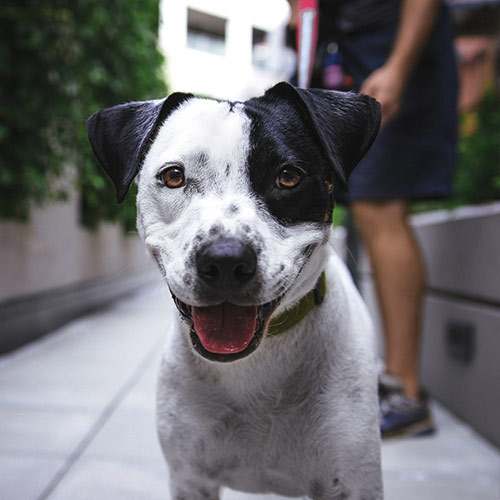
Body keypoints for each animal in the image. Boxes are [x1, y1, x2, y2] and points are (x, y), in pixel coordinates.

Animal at [87, 83, 382, 500]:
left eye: (288, 177)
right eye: (174, 176)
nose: (225, 260)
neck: (256, 365)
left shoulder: (353, 482)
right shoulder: (191, 479)